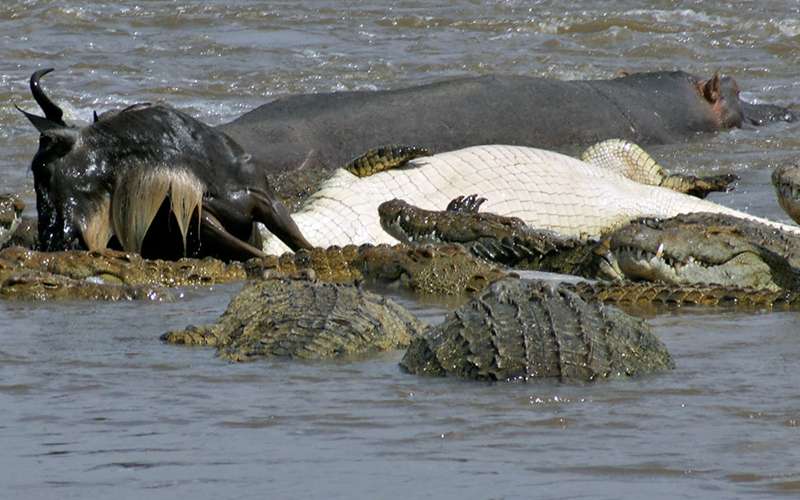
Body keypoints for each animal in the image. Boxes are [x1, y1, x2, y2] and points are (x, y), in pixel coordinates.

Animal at [18, 69, 312, 262]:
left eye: (42, 169)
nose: (50, 239)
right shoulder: (199, 222)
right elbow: (259, 254)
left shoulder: (267, 202)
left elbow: (300, 243)